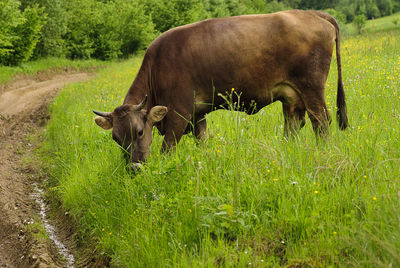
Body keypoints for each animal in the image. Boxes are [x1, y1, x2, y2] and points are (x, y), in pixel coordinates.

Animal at [93, 10, 346, 170]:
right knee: (293, 125)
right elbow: (202, 141)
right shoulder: (198, 114)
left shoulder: (179, 114)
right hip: (292, 96)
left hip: (312, 89)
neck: (157, 66)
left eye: (139, 132)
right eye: (116, 138)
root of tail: (312, 13)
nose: (134, 168)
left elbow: (168, 148)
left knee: (321, 122)